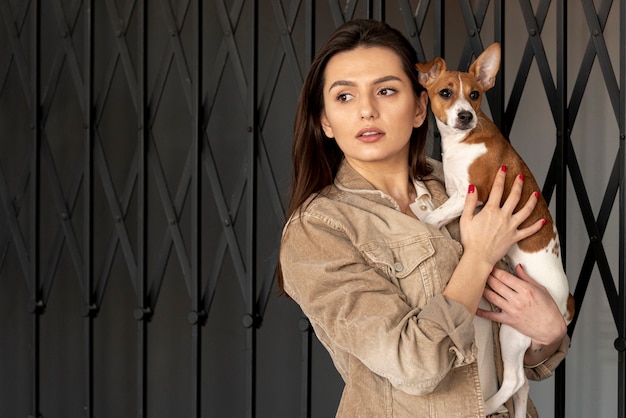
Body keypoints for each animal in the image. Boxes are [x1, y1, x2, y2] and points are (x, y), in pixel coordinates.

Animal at [414, 44, 572, 416]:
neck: (463, 142)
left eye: (475, 95)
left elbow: (433, 218)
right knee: (522, 383)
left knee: (515, 379)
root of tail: (566, 302)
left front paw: (421, 221)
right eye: (445, 93)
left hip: (514, 332)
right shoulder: (456, 191)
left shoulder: (470, 195)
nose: (465, 116)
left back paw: (486, 405)